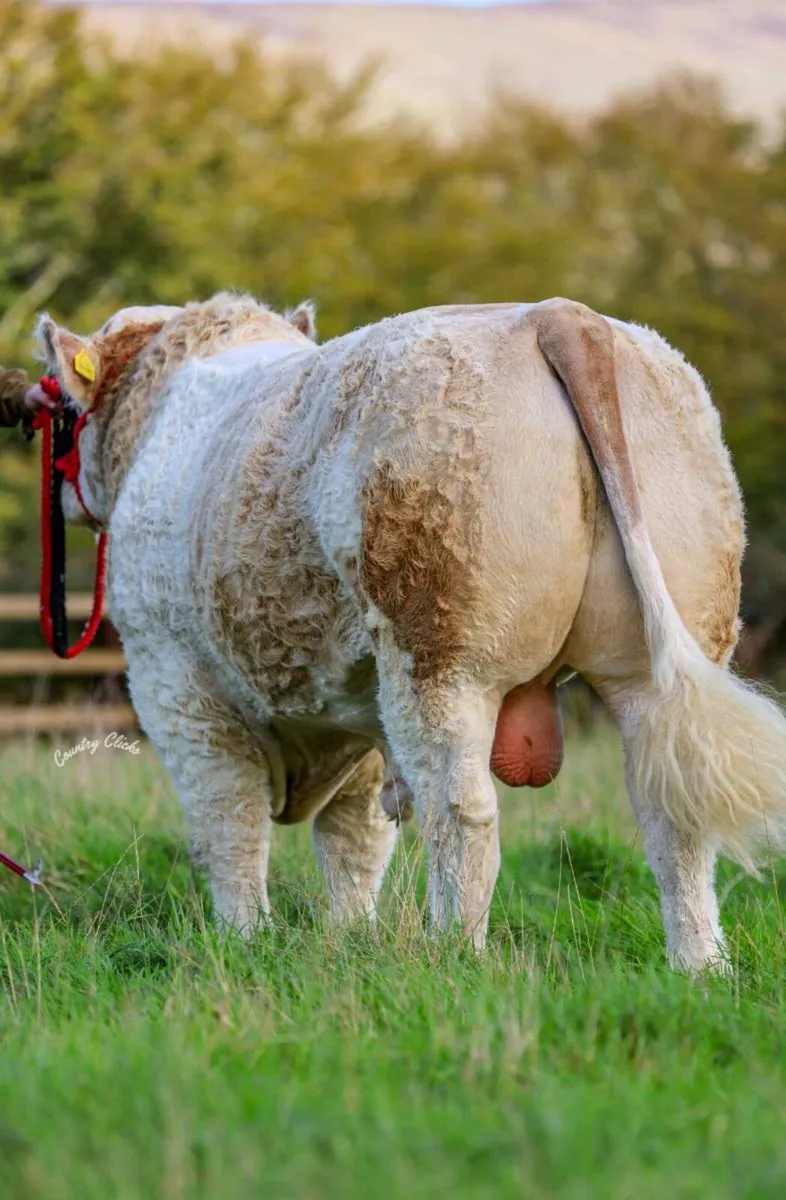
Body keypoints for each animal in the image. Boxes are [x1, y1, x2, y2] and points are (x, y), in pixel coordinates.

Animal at [29, 292, 786, 971]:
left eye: (62, 412)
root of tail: (557, 313)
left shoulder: (176, 686)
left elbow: (230, 827)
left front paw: (243, 938)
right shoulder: (355, 705)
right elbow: (355, 838)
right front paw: (348, 937)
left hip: (441, 657)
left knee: (461, 812)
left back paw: (452, 952)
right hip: (656, 656)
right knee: (675, 815)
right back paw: (699, 966)